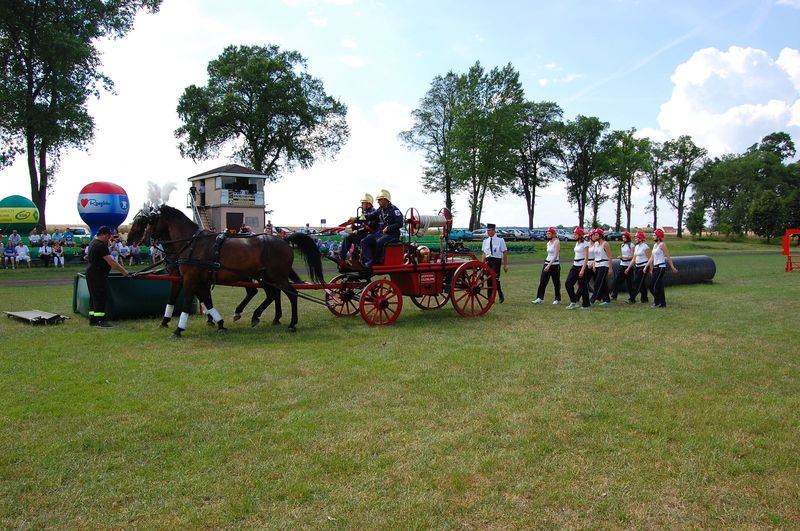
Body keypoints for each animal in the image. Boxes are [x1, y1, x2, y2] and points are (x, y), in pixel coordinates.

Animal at [128, 206, 322, 338]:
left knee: (292, 294)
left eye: (146, 221)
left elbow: (186, 303)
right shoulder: (193, 280)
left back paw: (291, 324)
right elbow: (202, 300)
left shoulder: (190, 279)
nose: (131, 240)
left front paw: (178, 329)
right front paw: (219, 323)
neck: (190, 243)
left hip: (276, 276)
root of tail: (284, 239)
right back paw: (258, 316)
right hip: (264, 276)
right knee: (273, 294)